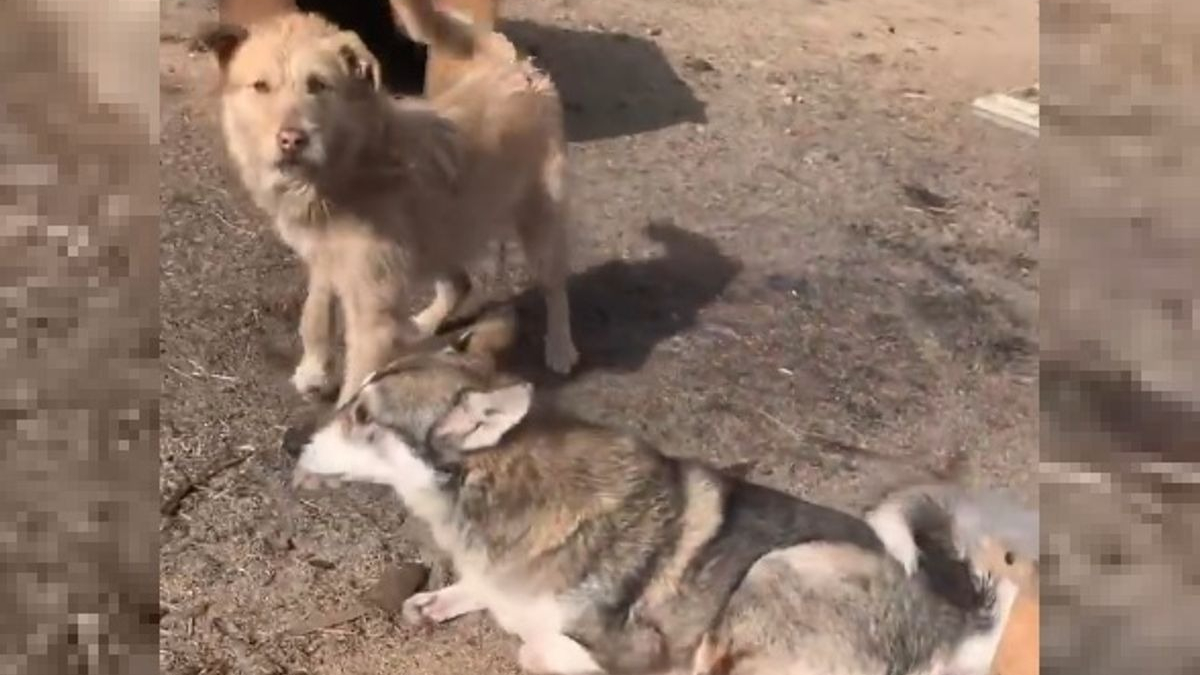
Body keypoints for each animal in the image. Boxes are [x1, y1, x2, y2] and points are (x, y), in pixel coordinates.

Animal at [201, 2, 576, 401]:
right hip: (436, 235)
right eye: (261, 86)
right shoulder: (325, 260)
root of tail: (513, 64)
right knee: (459, 282)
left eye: (318, 85)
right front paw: (314, 369)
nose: (291, 140)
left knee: (555, 288)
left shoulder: (372, 313)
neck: (351, 164)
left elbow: (356, 384)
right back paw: (425, 323)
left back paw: (561, 347)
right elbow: (315, 313)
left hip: (540, 224)